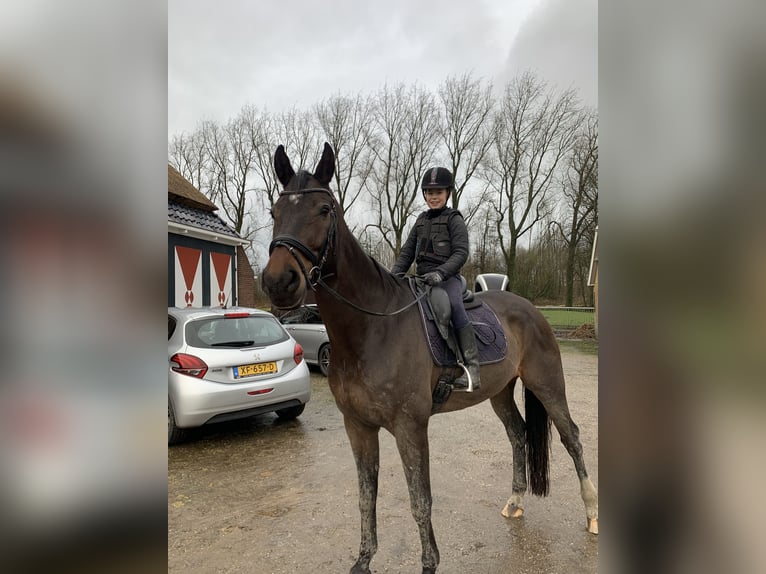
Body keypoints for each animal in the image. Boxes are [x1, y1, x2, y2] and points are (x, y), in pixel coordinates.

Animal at [262, 142, 598, 574]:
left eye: (324, 210)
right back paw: (515, 501)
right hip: (501, 392)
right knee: (518, 434)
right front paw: (363, 560)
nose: (279, 282)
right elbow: (365, 497)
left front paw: (428, 563)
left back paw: (591, 513)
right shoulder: (358, 427)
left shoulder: (410, 426)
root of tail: (530, 309)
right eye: (275, 212)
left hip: (547, 382)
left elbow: (420, 501)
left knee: (571, 436)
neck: (371, 329)